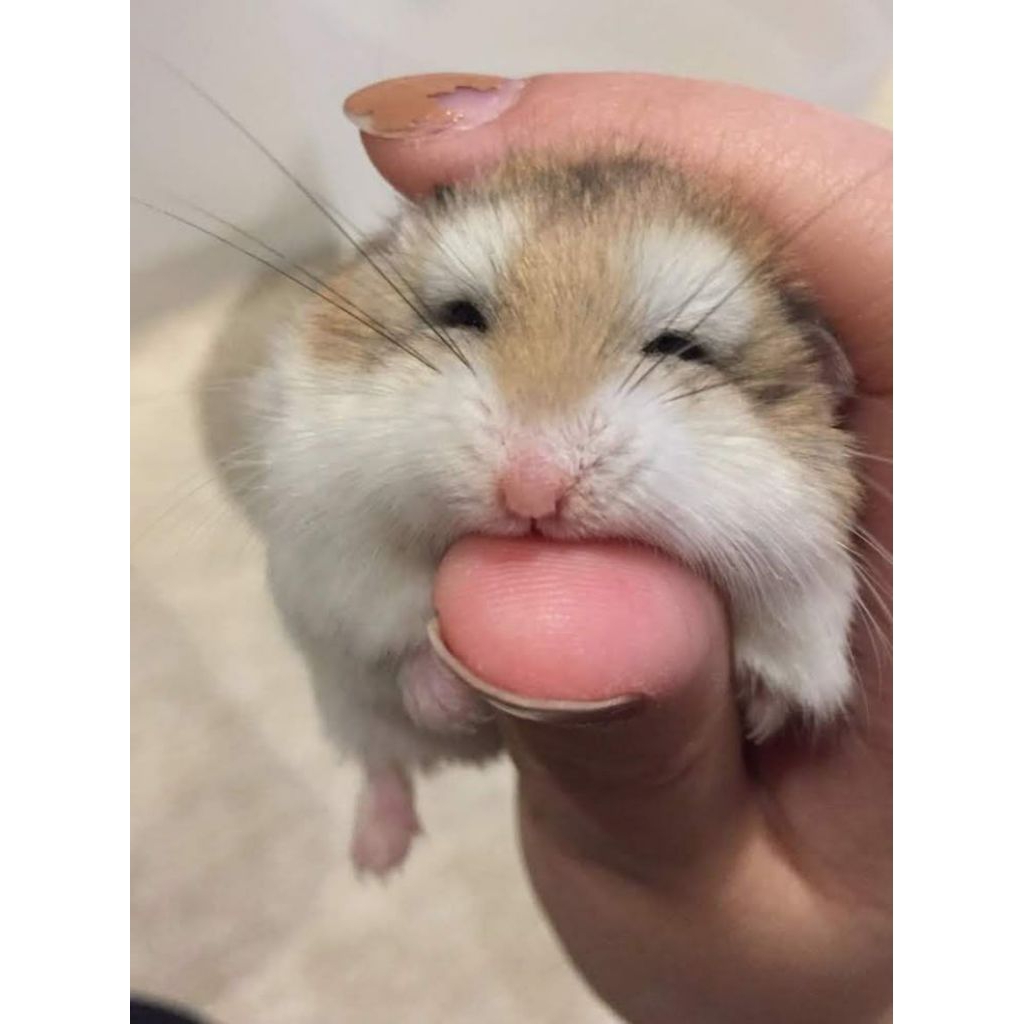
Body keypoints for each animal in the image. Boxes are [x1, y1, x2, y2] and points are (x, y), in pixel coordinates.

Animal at [201, 152, 860, 875]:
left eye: (679, 348)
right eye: (461, 314)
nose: (532, 492)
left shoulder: (808, 591)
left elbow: (785, 666)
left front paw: (754, 706)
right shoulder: (332, 545)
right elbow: (395, 636)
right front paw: (450, 692)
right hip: (348, 709)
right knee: (385, 766)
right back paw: (376, 858)